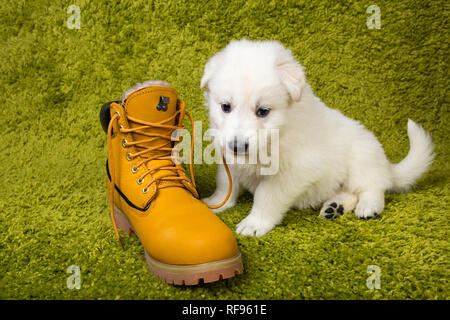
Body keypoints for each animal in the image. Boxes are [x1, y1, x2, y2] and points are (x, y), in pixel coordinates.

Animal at [200, 38, 432, 236]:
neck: (279, 133)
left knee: (373, 187)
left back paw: (368, 206)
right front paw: (214, 203)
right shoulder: (228, 160)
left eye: (263, 111)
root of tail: (387, 166)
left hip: (362, 160)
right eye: (225, 107)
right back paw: (335, 207)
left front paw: (254, 223)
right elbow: (225, 183)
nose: (237, 146)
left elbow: (266, 195)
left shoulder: (292, 172)